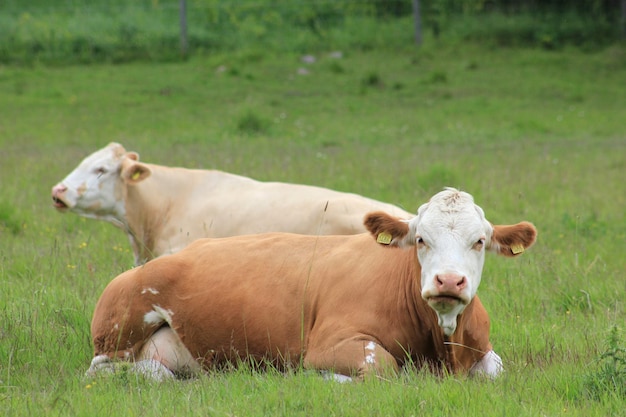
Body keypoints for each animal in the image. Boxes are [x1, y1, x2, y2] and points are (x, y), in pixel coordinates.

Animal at [86, 188, 536, 380]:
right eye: (421, 239)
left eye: (479, 241)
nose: (449, 280)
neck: (440, 344)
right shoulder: (330, 344)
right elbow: (384, 367)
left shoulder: (483, 351)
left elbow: (494, 370)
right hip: (118, 332)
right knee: (115, 371)